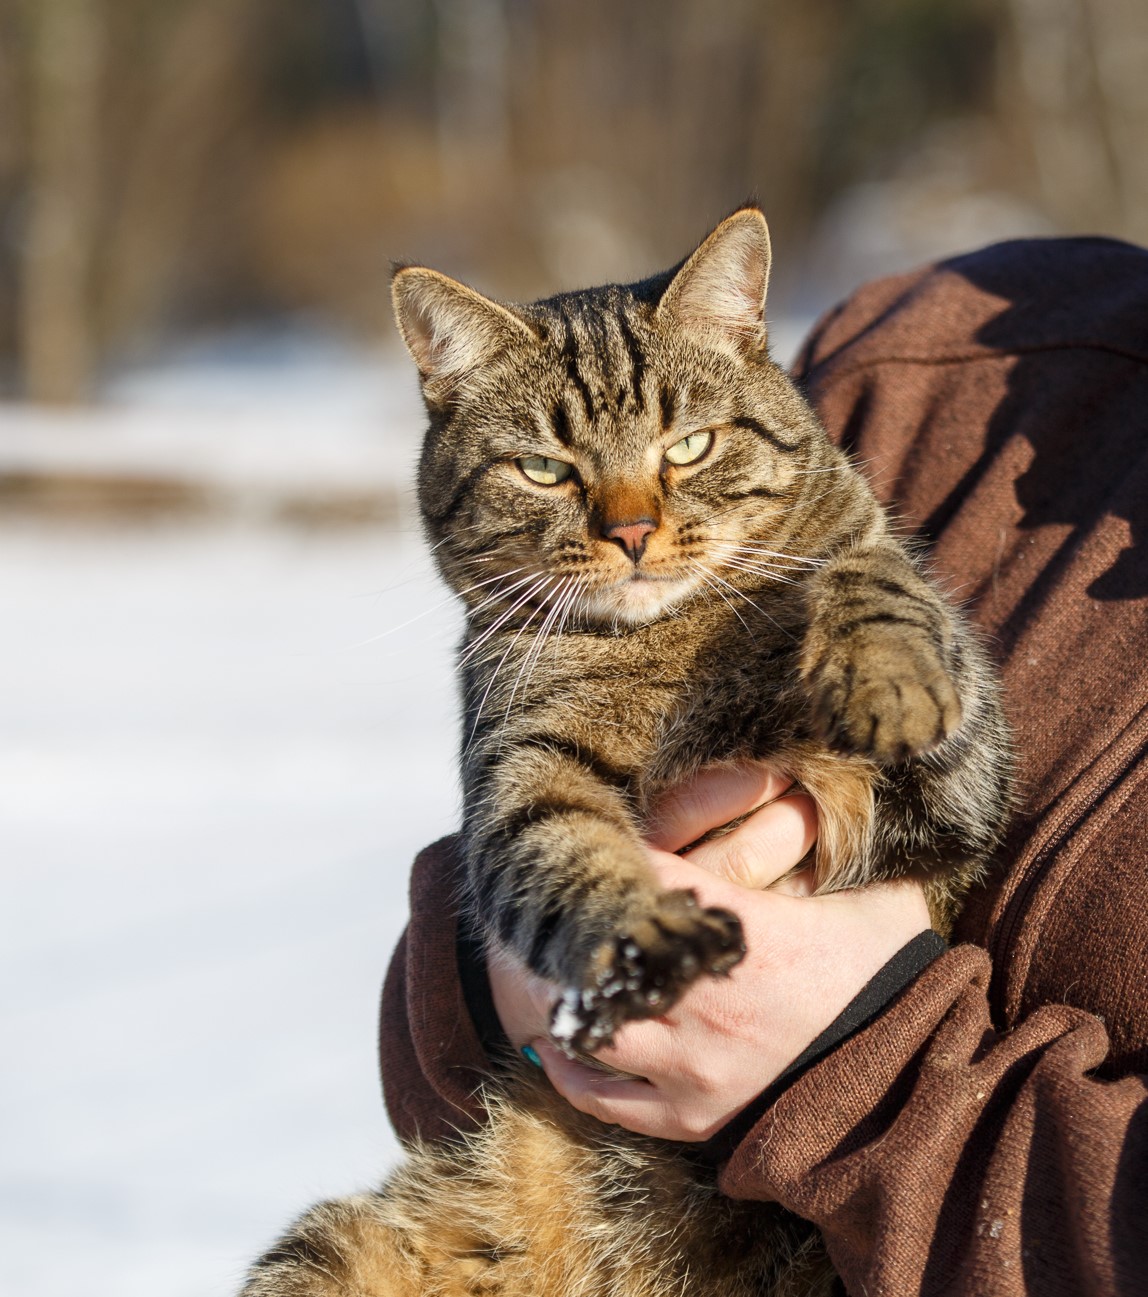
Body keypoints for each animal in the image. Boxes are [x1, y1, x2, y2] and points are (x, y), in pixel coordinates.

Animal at [241, 207, 1011, 1291]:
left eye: (687, 445)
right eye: (545, 468)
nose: (635, 531)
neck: (673, 646)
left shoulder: (949, 791)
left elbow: (867, 576)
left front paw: (882, 667)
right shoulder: (522, 772)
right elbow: (566, 858)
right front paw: (643, 937)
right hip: (334, 1249)